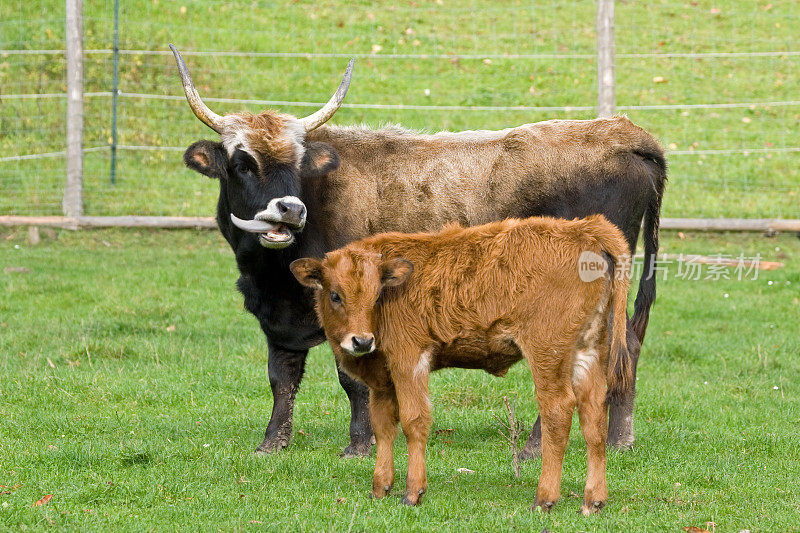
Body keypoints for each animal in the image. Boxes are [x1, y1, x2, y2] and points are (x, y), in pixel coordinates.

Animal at [172, 43, 664, 458]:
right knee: (627, 345)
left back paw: (535, 447)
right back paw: (618, 439)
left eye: (296, 163)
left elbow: (351, 377)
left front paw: (359, 445)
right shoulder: (280, 318)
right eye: (242, 163)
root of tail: (622, 132)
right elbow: (282, 377)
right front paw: (272, 443)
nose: (290, 210)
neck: (271, 274)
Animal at [290, 214, 632, 512]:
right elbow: (383, 425)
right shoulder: (382, 380)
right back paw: (593, 501)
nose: (362, 341)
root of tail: (585, 229)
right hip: (587, 352)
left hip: (547, 354)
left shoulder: (409, 361)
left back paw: (544, 498)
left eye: (376, 296)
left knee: (557, 412)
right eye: (335, 295)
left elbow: (414, 422)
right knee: (593, 418)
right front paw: (380, 487)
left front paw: (412, 492)